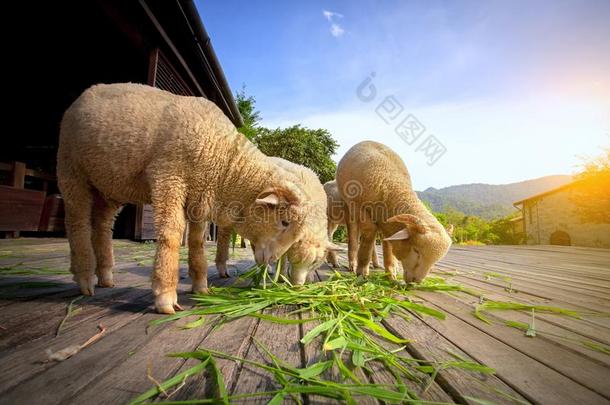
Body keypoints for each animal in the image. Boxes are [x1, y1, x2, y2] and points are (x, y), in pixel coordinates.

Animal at [56, 83, 312, 314]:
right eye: (284, 222)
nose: (273, 262)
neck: (224, 161)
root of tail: (86, 93)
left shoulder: (200, 196)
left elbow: (197, 241)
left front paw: (201, 286)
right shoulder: (168, 177)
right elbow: (171, 233)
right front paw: (165, 296)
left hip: (108, 186)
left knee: (102, 226)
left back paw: (106, 276)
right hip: (72, 170)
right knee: (77, 223)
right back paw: (85, 278)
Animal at [213, 155, 330, 284]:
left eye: (315, 262)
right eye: (293, 259)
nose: (297, 285)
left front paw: (309, 278)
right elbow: (283, 259)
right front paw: (281, 276)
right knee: (224, 235)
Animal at [332, 140, 452, 282]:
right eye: (416, 251)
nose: (415, 282)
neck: (388, 183)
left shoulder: (387, 220)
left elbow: (387, 243)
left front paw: (390, 273)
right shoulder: (359, 208)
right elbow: (368, 235)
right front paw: (362, 271)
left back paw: (376, 263)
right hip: (349, 208)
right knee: (354, 235)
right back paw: (353, 263)